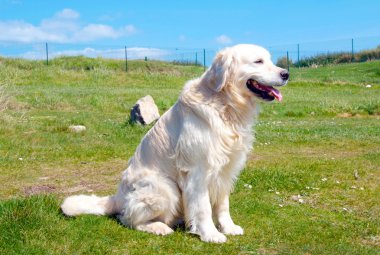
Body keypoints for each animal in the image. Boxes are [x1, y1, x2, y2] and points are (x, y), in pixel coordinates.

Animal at [60, 44, 290, 243]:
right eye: (258, 61)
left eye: (270, 60)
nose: (286, 74)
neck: (225, 105)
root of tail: (117, 197)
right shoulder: (197, 170)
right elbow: (203, 207)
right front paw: (210, 234)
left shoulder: (226, 170)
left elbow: (223, 204)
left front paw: (228, 227)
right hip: (164, 187)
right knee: (127, 219)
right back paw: (158, 227)